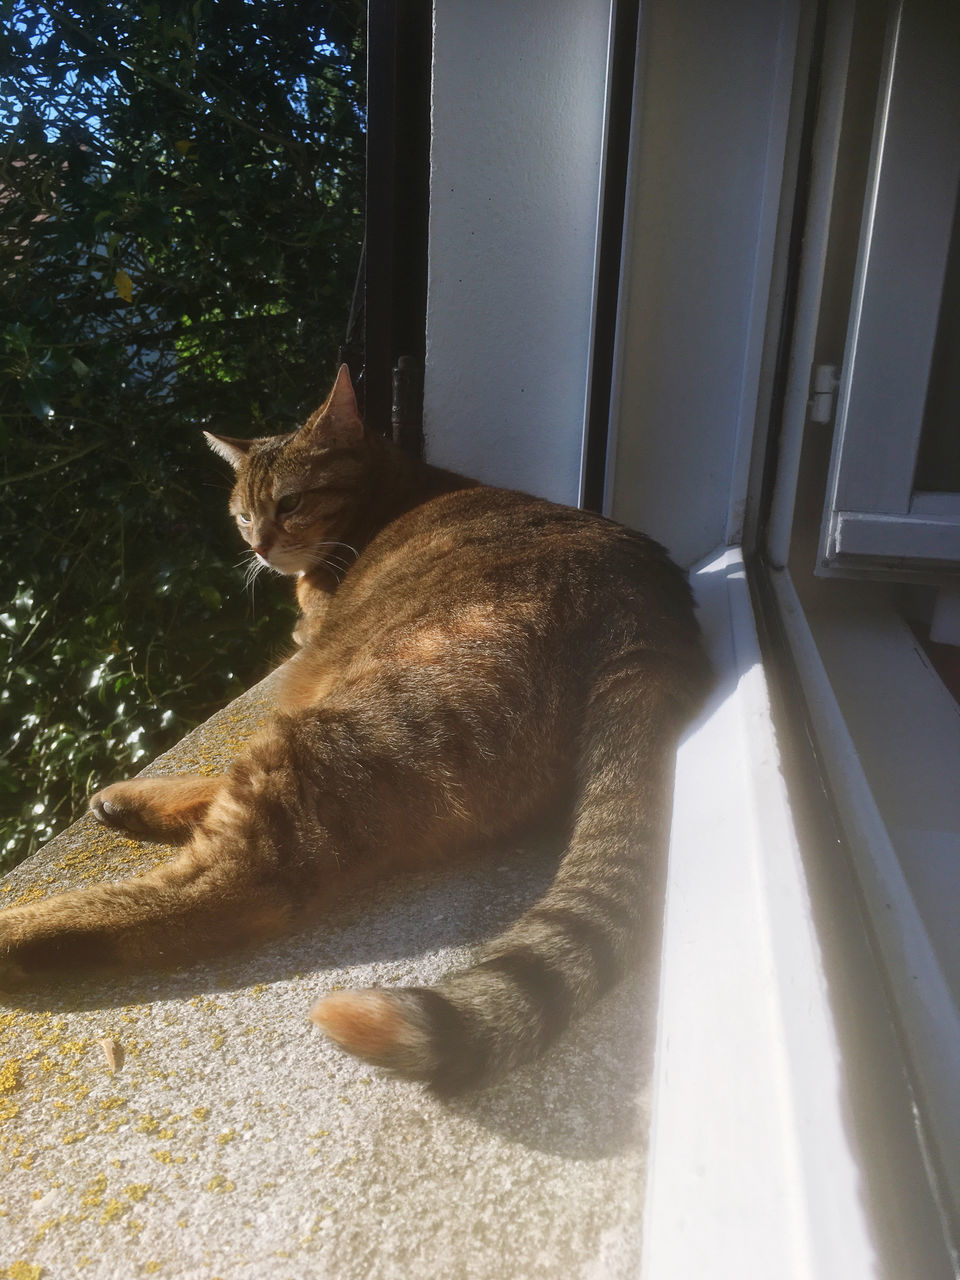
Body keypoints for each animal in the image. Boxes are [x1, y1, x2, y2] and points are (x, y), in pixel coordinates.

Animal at [0, 368, 706, 1090]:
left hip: (348, 724)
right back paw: (131, 806)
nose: (258, 546)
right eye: (244, 515)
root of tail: (649, 621)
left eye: (291, 503)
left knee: (226, 887)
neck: (388, 486)